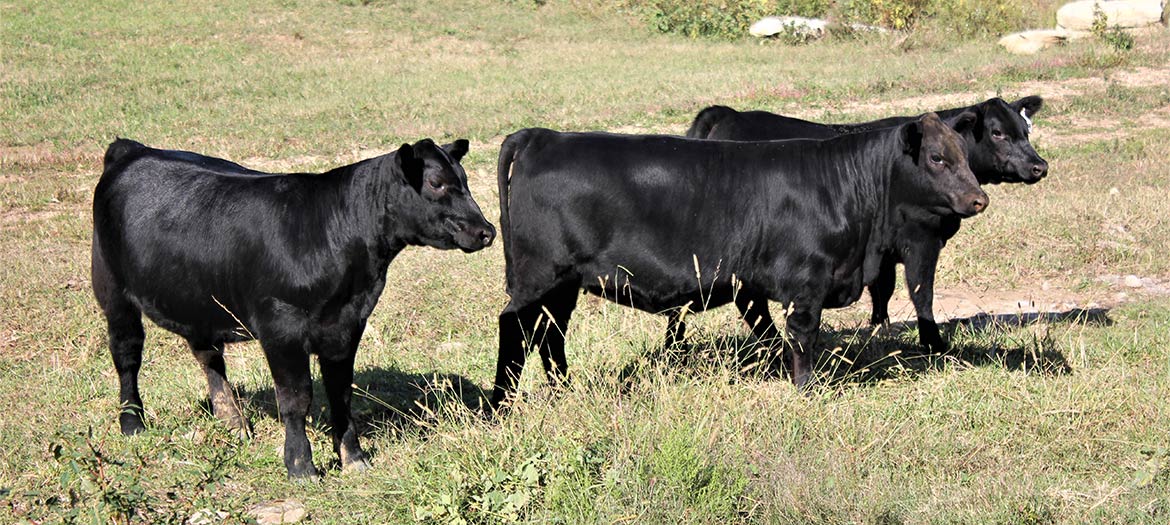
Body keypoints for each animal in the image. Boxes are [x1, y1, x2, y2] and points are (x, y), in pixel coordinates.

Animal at [92, 136, 493, 477]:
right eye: (437, 183)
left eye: (464, 179)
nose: (486, 231)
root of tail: (133, 149)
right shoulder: (281, 329)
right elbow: (296, 398)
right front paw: (301, 466)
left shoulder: (346, 325)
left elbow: (341, 394)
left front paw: (354, 459)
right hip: (112, 290)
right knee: (127, 355)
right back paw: (132, 422)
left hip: (198, 298)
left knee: (208, 355)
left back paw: (233, 420)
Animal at [491, 112, 987, 402]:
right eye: (937, 158)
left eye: (966, 155)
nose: (978, 198)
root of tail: (543, 137)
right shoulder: (806, 283)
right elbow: (802, 339)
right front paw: (806, 392)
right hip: (539, 276)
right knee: (515, 328)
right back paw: (501, 403)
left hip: (564, 285)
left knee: (550, 336)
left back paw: (563, 391)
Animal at [683, 98, 1048, 350]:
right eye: (998, 132)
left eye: (1026, 130)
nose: (1039, 166)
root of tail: (728, 113)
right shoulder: (922, 239)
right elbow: (921, 292)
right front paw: (933, 342)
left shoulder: (882, 249)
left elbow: (883, 289)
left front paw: (879, 328)